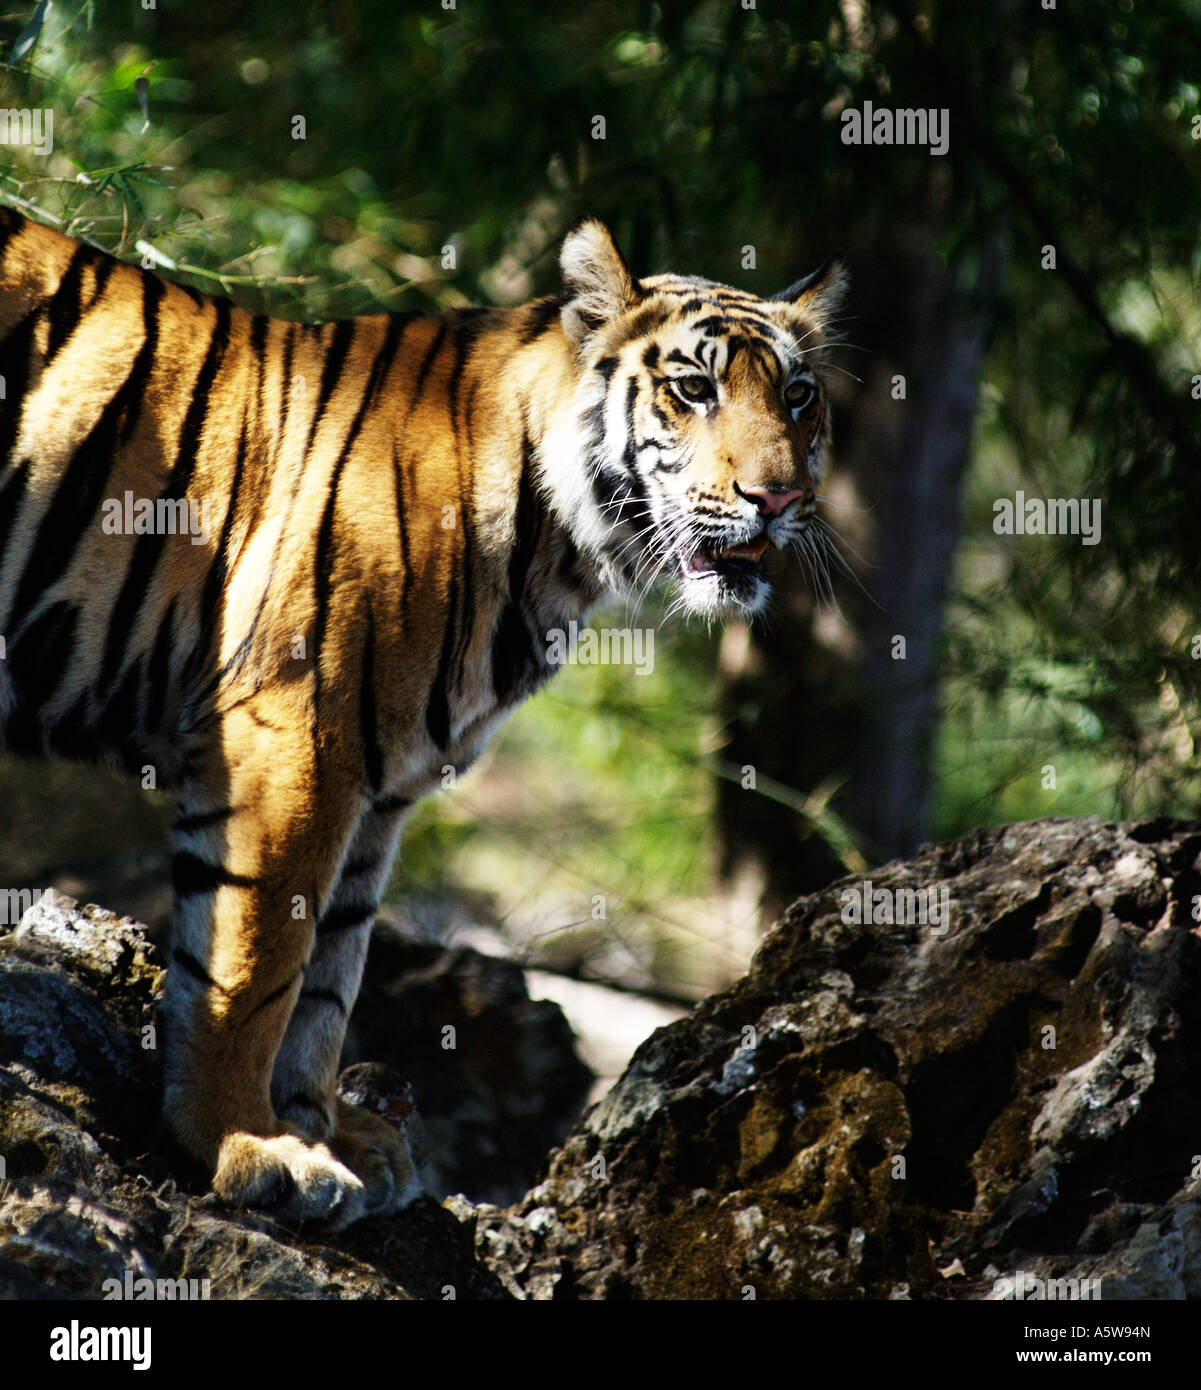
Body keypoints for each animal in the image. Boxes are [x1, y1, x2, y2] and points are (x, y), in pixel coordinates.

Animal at [0, 205, 845, 1228]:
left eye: (798, 396)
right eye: (693, 388)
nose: (782, 497)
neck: (561, 554)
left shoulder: (378, 785)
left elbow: (329, 974)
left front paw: (323, 1128)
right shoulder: (294, 741)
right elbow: (254, 966)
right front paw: (246, 1145)